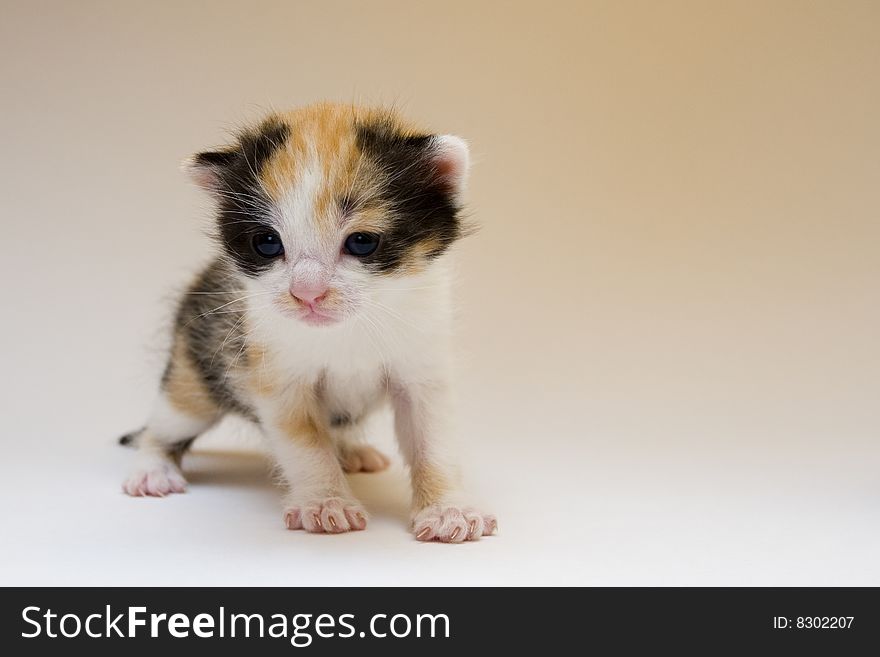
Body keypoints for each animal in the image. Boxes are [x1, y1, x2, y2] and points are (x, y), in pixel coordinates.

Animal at [120, 104, 498, 544]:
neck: (347, 330)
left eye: (362, 242)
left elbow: (433, 439)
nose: (307, 293)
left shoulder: (423, 367)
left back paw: (351, 451)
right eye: (267, 243)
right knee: (165, 424)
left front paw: (448, 508)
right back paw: (152, 468)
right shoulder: (274, 375)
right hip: (192, 371)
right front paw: (325, 502)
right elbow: (304, 442)